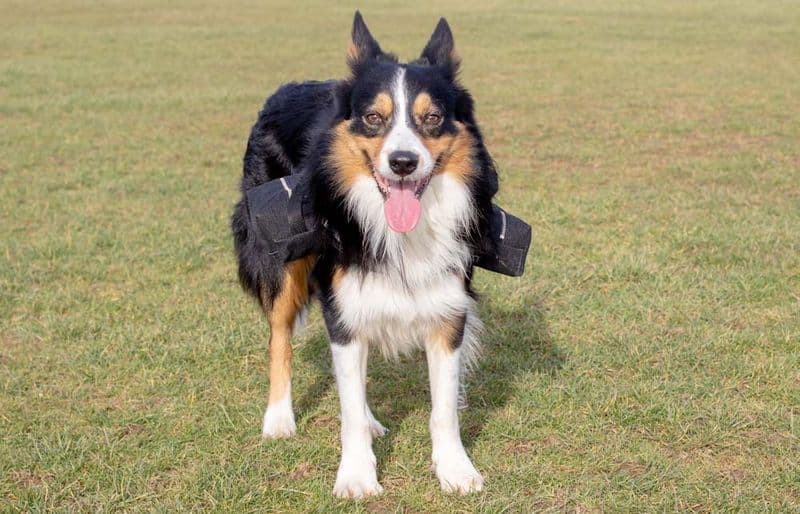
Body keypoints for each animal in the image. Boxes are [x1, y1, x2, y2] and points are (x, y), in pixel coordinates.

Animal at [233, 12, 500, 494]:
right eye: (374, 118)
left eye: (432, 118)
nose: (403, 162)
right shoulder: (340, 303)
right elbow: (348, 409)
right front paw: (357, 476)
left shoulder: (448, 308)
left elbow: (443, 408)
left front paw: (455, 470)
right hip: (280, 261)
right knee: (279, 336)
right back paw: (278, 419)